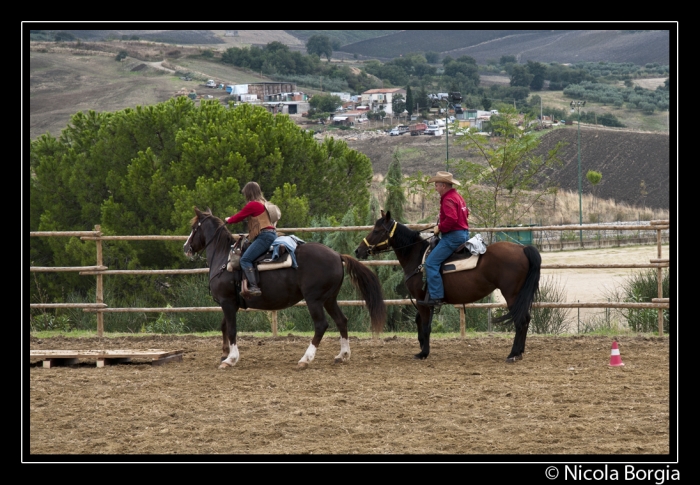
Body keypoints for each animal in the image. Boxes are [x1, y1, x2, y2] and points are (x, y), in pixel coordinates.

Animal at [183, 206, 386, 368]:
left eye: (194, 228)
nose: (186, 248)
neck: (224, 258)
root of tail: (337, 255)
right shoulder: (230, 303)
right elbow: (225, 326)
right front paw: (225, 354)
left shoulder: (227, 302)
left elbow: (231, 328)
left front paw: (230, 359)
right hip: (329, 299)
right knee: (341, 321)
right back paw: (343, 355)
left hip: (314, 300)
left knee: (321, 325)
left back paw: (306, 359)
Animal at [356, 210, 540, 362]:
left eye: (377, 231)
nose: (358, 251)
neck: (417, 257)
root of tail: (523, 249)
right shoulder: (425, 302)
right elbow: (419, 321)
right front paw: (421, 347)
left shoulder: (422, 300)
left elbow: (425, 326)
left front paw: (424, 353)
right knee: (526, 319)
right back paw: (519, 353)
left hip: (512, 295)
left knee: (520, 320)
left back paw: (513, 354)